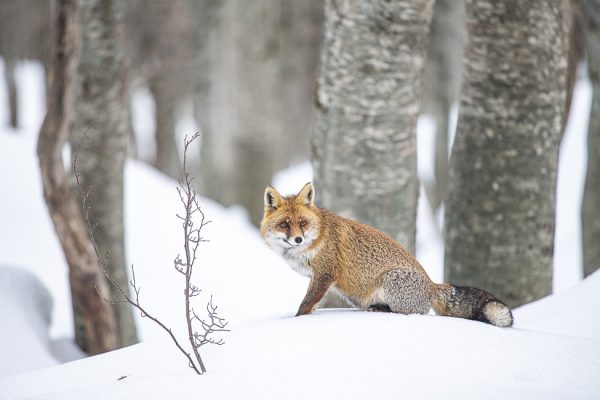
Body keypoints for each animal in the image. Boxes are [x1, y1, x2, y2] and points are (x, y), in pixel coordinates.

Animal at [260, 183, 512, 326]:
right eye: (284, 224)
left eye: (302, 223)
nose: (298, 239)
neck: (318, 237)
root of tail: (431, 285)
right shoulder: (318, 277)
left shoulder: (324, 274)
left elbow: (305, 305)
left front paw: (296, 321)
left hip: (391, 282)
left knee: (415, 313)